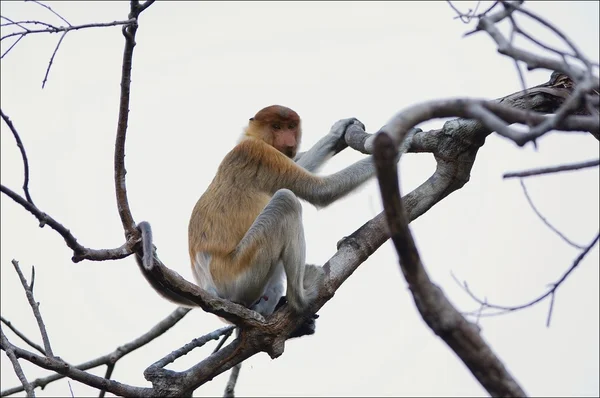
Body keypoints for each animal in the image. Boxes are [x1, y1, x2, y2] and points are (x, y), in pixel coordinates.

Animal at [136, 104, 376, 328]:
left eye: (291, 126)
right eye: (276, 127)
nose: (289, 141)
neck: (252, 138)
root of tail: (209, 288)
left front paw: (338, 131)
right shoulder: (259, 153)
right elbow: (321, 190)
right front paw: (386, 142)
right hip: (240, 274)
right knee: (286, 200)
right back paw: (301, 298)